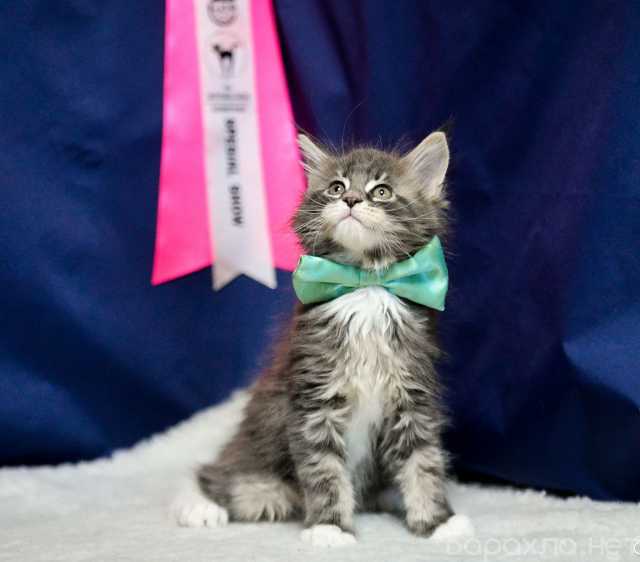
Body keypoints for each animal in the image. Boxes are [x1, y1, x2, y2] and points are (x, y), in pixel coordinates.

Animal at [173, 131, 454, 547]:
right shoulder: (314, 399)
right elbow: (325, 472)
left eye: (381, 191)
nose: (351, 200)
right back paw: (199, 506)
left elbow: (423, 462)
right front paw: (330, 528)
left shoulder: (412, 394)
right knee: (218, 478)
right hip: (260, 481)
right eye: (336, 187)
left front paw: (438, 522)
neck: (366, 286)